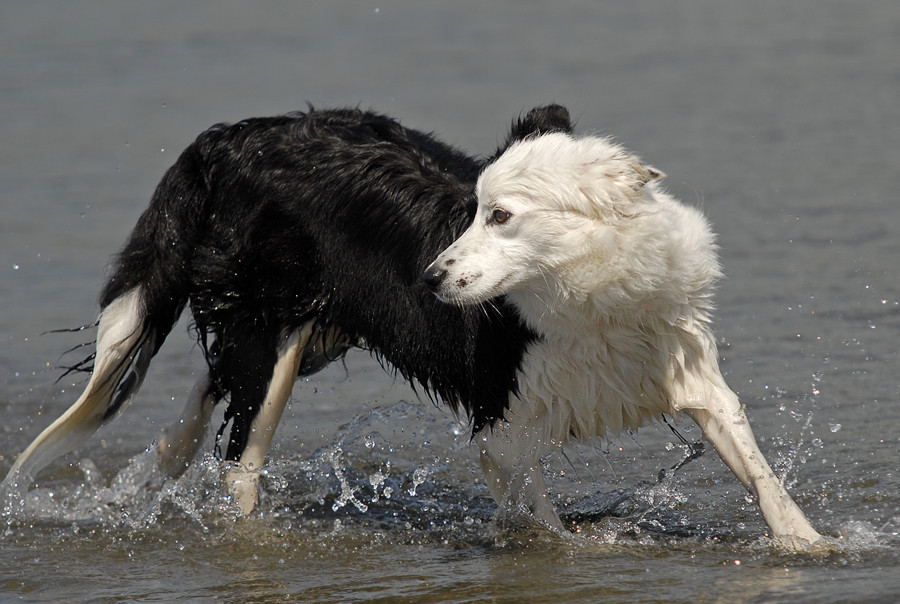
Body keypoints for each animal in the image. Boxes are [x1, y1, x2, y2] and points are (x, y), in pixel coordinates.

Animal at [422, 133, 824, 548]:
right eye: (474, 213)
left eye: (499, 215)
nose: (429, 278)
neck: (601, 310)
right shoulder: (502, 428)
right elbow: (538, 514)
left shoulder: (690, 370)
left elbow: (759, 472)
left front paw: (807, 541)